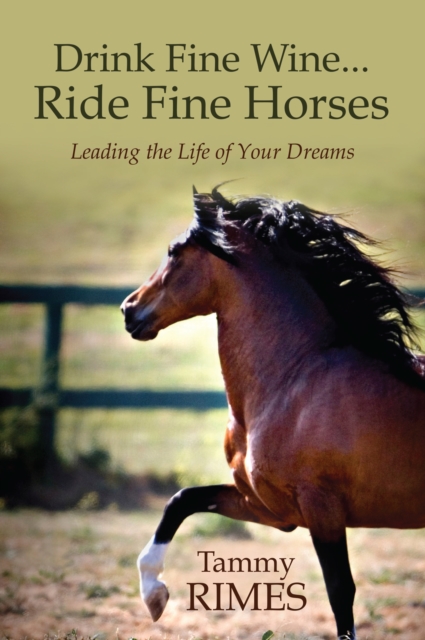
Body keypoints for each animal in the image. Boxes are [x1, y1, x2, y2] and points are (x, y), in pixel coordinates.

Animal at [121, 187, 425, 640]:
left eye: (174, 252)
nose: (128, 310)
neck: (293, 379)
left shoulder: (321, 507)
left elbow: (340, 591)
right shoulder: (271, 508)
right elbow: (182, 499)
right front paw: (153, 594)